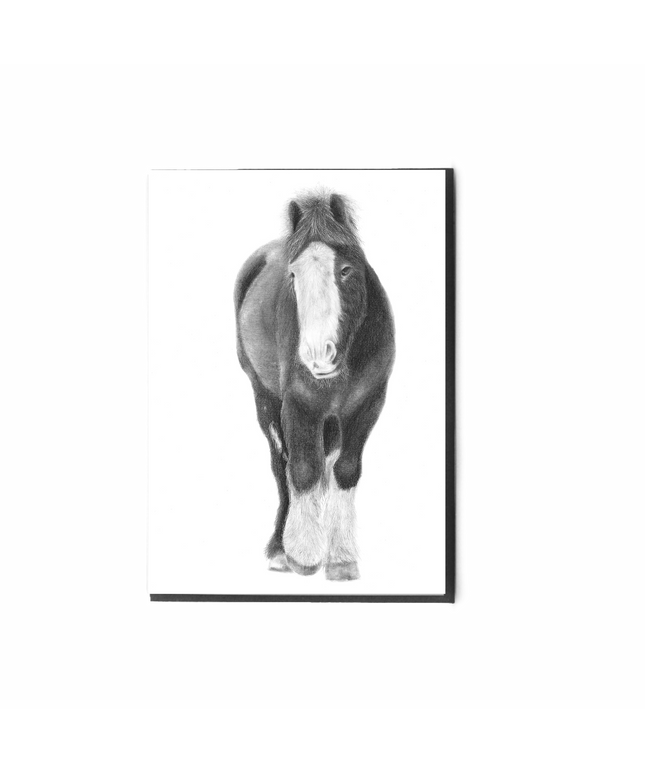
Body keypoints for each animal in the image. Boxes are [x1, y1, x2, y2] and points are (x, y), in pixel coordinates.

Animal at [234, 191, 395, 580]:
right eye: (293, 274)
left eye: (346, 269)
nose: (318, 355)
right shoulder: (299, 404)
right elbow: (303, 469)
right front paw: (303, 555)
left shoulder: (368, 405)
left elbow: (345, 470)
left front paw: (341, 559)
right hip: (264, 398)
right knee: (281, 465)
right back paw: (280, 551)